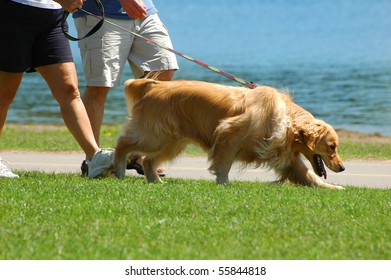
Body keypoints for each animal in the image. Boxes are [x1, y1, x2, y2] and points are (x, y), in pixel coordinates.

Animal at [113, 78, 346, 190]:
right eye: (332, 147)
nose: (343, 168)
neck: (285, 119)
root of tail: (153, 86)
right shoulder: (229, 133)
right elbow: (224, 164)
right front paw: (224, 183)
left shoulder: (287, 156)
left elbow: (309, 176)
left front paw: (333, 187)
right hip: (156, 135)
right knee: (123, 143)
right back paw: (119, 170)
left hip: (172, 141)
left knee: (148, 160)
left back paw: (155, 181)